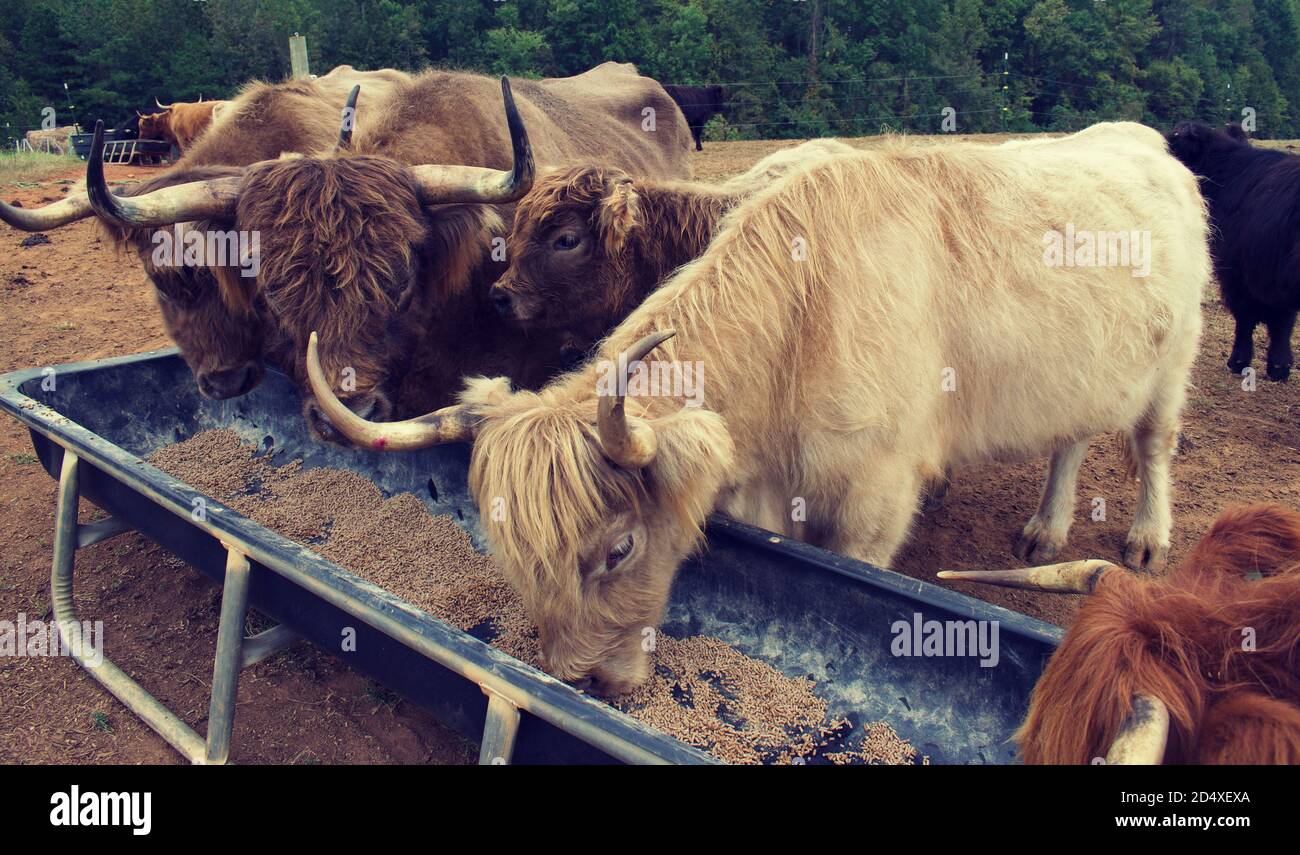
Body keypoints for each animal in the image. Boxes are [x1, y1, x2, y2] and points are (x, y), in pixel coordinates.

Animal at [309, 121, 1211, 691]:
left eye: (618, 548)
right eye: (509, 554)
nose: (584, 678)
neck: (808, 316)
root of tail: (1144, 141)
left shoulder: (877, 498)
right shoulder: (770, 486)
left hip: (1173, 363)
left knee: (1152, 443)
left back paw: (1144, 538)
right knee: (1071, 440)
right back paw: (1046, 528)